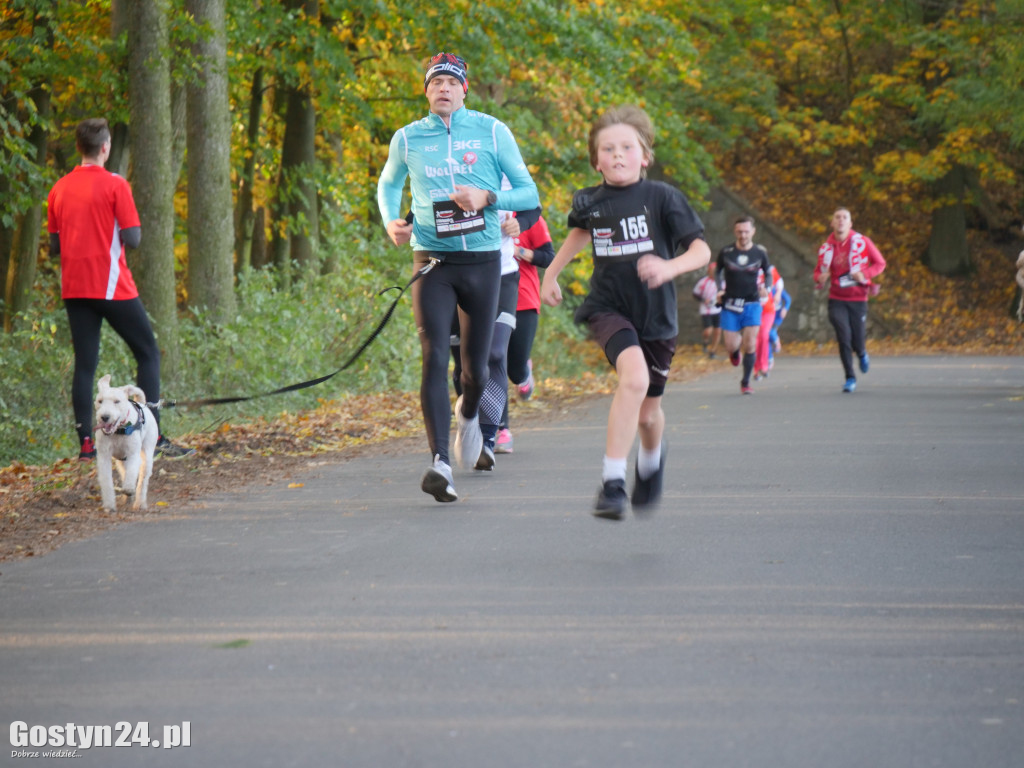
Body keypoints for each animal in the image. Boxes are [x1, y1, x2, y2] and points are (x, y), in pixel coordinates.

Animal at [93, 374, 157, 512]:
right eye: (100, 401)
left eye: (117, 401)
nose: (105, 417)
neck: (118, 431)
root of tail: (143, 405)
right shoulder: (104, 456)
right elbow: (106, 481)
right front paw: (109, 505)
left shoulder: (134, 454)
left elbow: (133, 472)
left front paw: (128, 489)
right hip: (121, 461)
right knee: (125, 473)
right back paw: (127, 499)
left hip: (147, 454)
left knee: (142, 480)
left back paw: (139, 502)